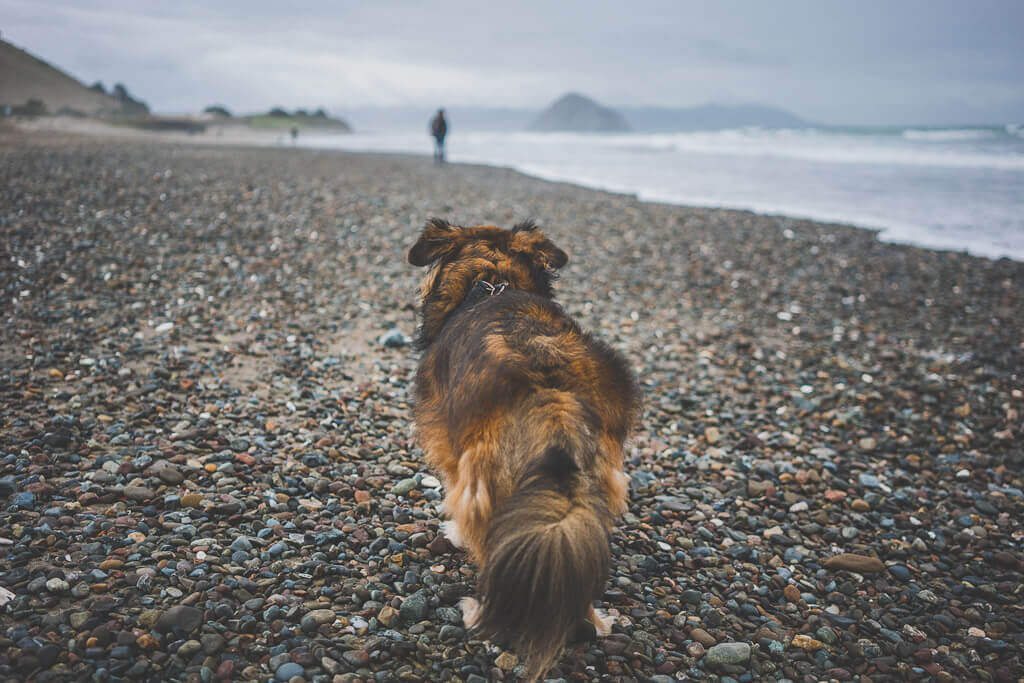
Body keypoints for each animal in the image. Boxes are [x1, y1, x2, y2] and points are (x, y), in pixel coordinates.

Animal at [407, 219, 638, 679]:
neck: (493, 279)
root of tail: (553, 398)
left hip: (486, 486)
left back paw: (479, 613)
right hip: (598, 490)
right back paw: (593, 623)